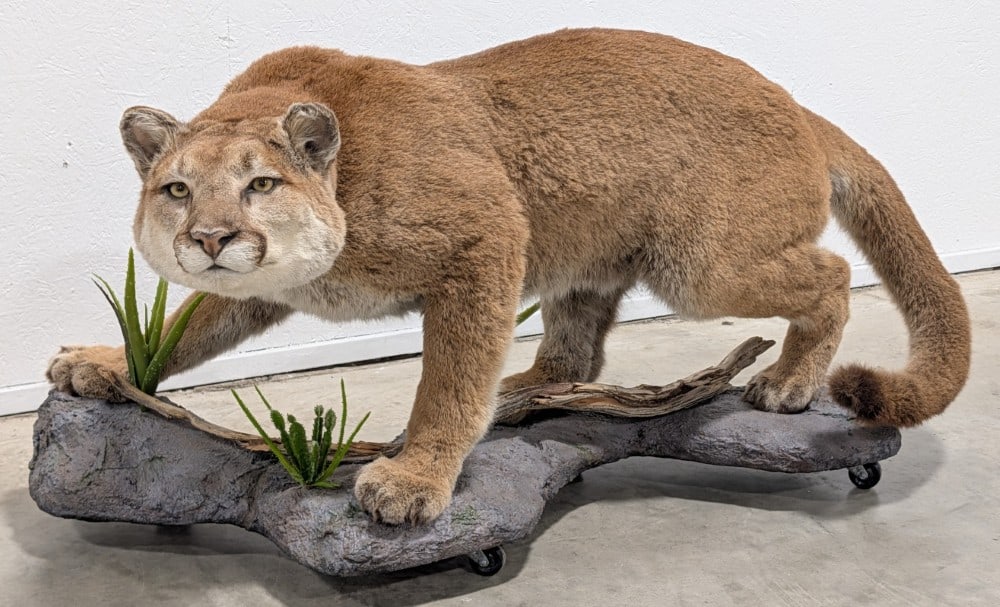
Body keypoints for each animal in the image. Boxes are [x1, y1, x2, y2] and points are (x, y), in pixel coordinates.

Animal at [48, 28, 970, 525]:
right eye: (176, 189)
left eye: (260, 185)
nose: (210, 237)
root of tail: (798, 104)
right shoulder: (260, 290)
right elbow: (183, 328)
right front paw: (103, 362)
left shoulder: (484, 239)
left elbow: (448, 380)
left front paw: (415, 477)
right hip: (588, 254)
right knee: (578, 350)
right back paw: (528, 387)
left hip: (702, 264)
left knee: (832, 270)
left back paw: (788, 381)